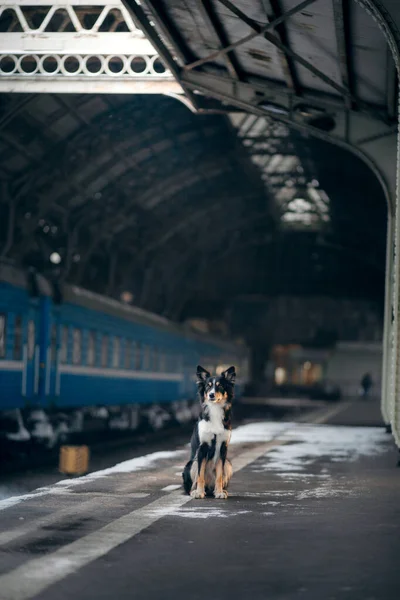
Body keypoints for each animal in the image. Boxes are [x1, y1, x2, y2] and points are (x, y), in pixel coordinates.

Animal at [183, 366, 236, 496]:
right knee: (193, 481)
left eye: (220, 385)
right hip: (191, 464)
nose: (211, 395)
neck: (215, 408)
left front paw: (219, 492)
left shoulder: (223, 447)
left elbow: (219, 475)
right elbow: (200, 474)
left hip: (228, 464)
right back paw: (195, 491)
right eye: (208, 386)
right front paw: (199, 492)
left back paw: (217, 490)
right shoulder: (202, 447)